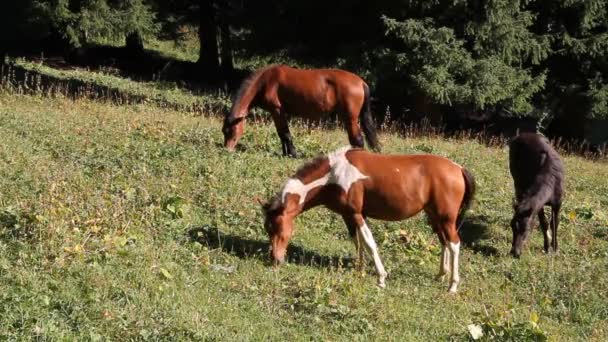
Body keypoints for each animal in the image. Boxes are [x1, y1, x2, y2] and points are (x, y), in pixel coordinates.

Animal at [221, 65, 378, 157]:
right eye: (224, 131)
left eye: (231, 130)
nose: (227, 150)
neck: (265, 82)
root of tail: (361, 82)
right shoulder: (277, 112)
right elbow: (282, 134)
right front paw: (286, 153)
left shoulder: (277, 110)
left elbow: (285, 133)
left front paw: (293, 153)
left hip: (350, 118)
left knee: (357, 139)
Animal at [262, 146, 476, 292]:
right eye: (268, 228)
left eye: (277, 227)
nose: (276, 259)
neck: (335, 175)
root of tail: (458, 168)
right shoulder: (349, 215)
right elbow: (358, 242)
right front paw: (360, 268)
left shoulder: (357, 214)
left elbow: (370, 243)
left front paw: (381, 278)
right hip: (434, 216)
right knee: (444, 242)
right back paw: (441, 274)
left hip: (446, 218)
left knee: (454, 244)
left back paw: (452, 286)